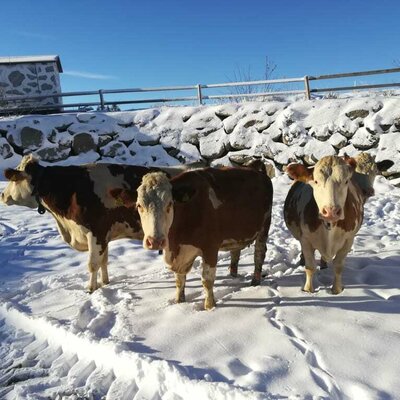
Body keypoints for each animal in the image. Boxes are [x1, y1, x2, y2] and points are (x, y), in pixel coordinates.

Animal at [0, 155, 185, 292]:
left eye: (13, 180)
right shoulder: (104, 235)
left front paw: (91, 288)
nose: (2, 195)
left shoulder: (96, 232)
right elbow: (103, 261)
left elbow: (92, 264)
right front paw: (105, 283)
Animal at [112, 164, 276, 310]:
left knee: (259, 254)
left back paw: (255, 281)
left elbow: (207, 281)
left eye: (170, 204)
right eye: (139, 205)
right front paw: (179, 302)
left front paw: (210, 307)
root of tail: (257, 171)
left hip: (264, 227)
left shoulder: (210, 247)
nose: (155, 241)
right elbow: (179, 281)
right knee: (235, 252)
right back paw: (233, 275)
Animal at [284, 153, 394, 294]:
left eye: (346, 181)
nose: (331, 211)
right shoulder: (306, 240)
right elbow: (310, 267)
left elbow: (338, 266)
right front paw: (308, 290)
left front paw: (336, 290)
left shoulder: (348, 240)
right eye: (316, 181)